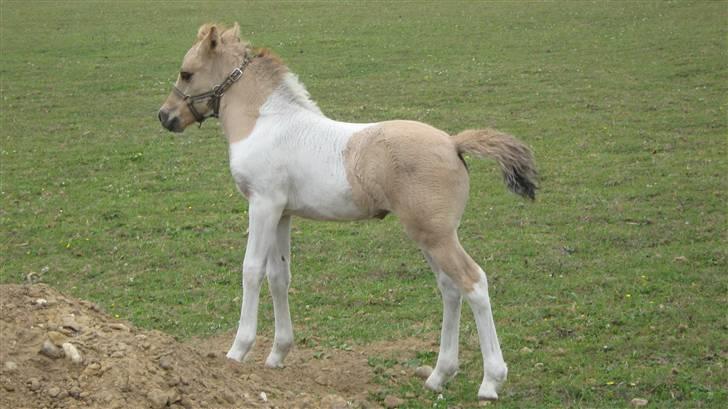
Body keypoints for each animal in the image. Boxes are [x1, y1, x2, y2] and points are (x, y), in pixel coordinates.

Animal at [158, 23, 536, 398]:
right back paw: (439, 376)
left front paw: (237, 351)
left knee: (473, 282)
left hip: (436, 235)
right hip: (430, 236)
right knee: (450, 287)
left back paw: (490, 381)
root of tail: (453, 142)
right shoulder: (282, 213)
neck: (263, 121)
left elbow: (252, 271)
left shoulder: (263, 204)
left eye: (186, 72)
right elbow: (279, 277)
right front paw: (277, 354)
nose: (165, 116)